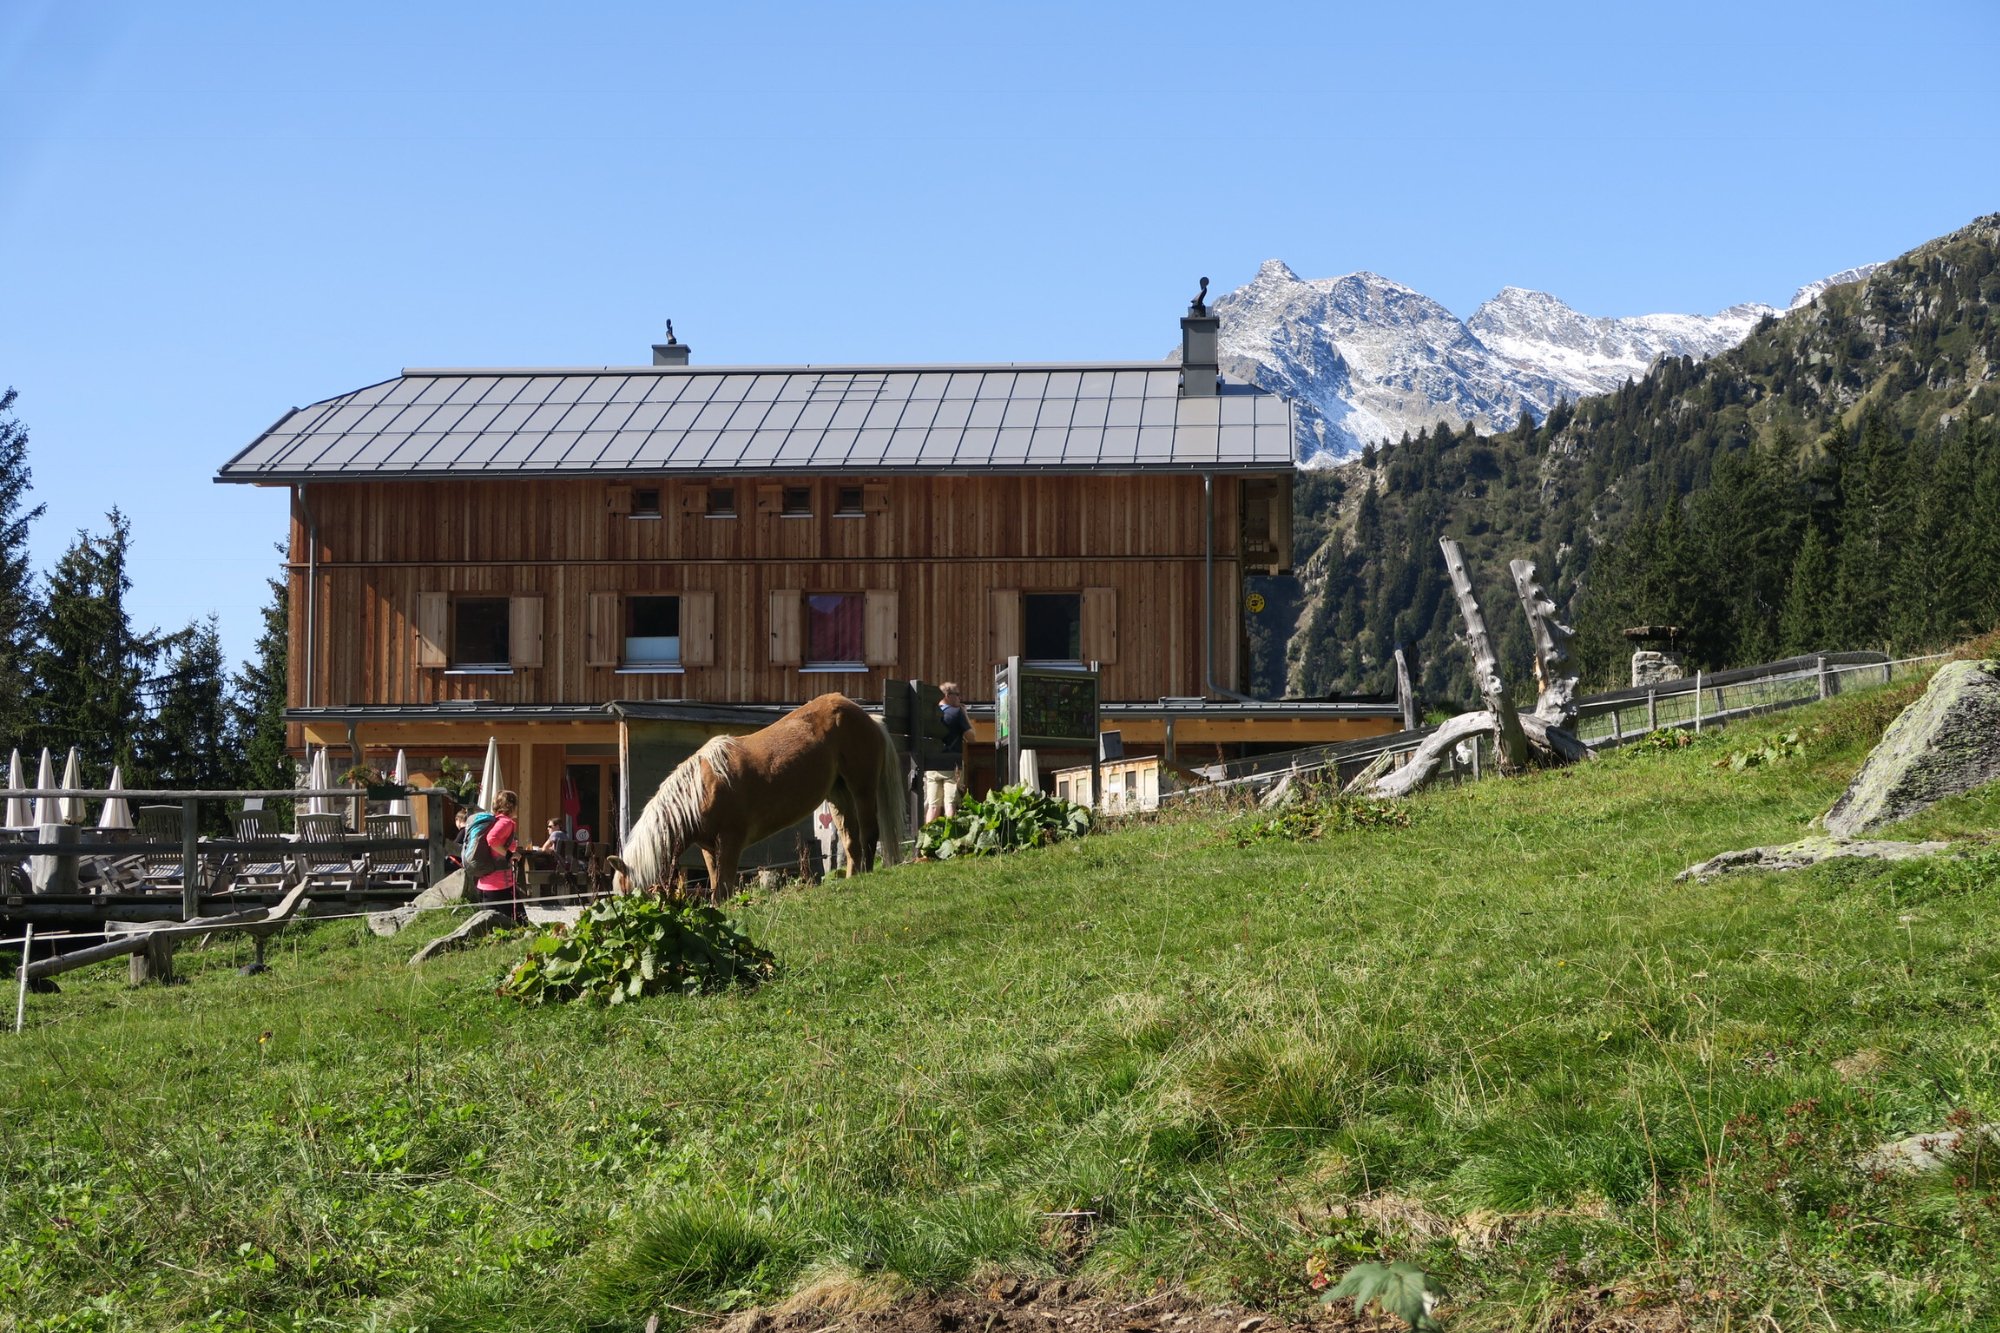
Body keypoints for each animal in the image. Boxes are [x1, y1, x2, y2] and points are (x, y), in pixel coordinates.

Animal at [608, 696, 908, 892]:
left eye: (632, 892)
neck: (701, 791)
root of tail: (867, 717)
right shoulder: (709, 849)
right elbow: (716, 885)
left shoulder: (731, 841)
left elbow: (724, 889)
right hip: (838, 795)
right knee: (851, 842)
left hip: (862, 788)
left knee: (868, 835)